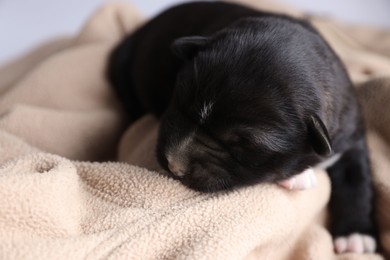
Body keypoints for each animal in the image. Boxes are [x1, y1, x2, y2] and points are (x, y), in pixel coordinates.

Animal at [106, 1, 374, 254]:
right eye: (178, 100)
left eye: (244, 146)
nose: (174, 166)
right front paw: (300, 176)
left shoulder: (350, 136)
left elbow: (356, 180)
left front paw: (356, 236)